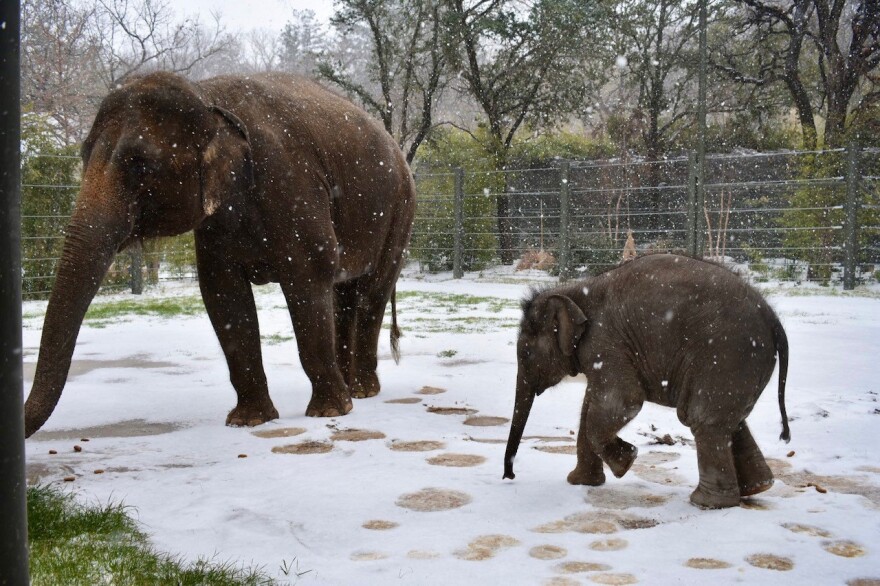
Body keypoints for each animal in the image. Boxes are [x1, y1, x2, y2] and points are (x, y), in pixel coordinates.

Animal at [24, 72, 416, 434]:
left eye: (140, 164)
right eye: (83, 154)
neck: (207, 96)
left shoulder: (293, 185)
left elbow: (307, 277)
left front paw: (329, 413)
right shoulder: (215, 222)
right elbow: (224, 295)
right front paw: (249, 421)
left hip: (401, 210)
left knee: (371, 292)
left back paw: (361, 393)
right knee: (344, 294)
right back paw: (351, 388)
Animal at [502, 254, 792, 506]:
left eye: (525, 354)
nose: (509, 476)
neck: (573, 291)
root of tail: (774, 319)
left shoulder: (604, 342)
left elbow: (623, 401)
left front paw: (627, 462)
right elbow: (590, 409)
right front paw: (581, 482)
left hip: (727, 354)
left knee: (702, 419)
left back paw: (706, 503)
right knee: (729, 420)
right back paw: (758, 487)